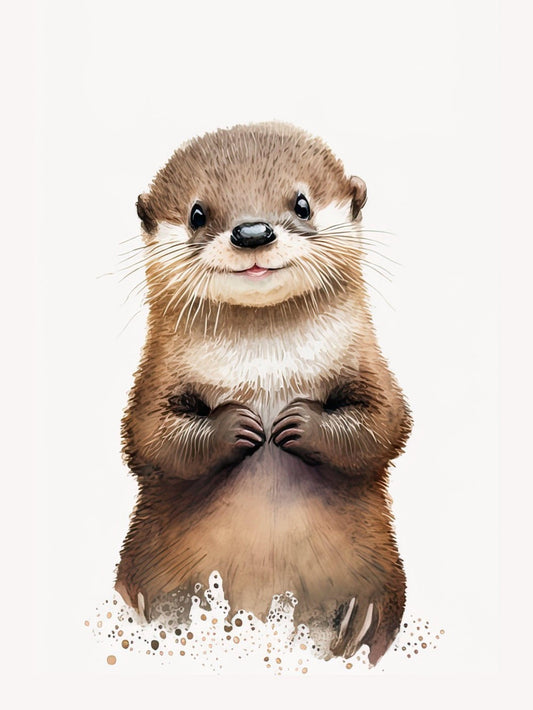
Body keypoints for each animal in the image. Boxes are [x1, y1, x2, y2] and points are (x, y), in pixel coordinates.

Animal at [115, 122, 412, 665]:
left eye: (302, 203)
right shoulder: (152, 383)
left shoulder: (371, 368)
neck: (266, 368)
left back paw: (353, 623)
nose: (252, 232)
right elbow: (150, 439)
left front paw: (299, 424)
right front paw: (237, 426)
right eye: (197, 213)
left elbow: (386, 424)